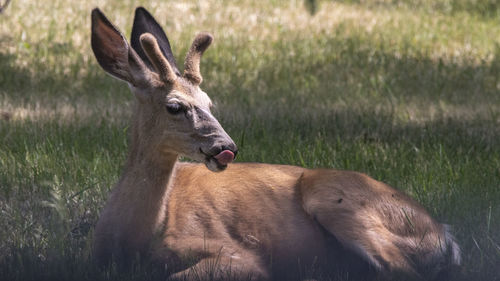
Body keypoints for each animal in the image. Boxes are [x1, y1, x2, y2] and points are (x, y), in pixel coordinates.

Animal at [91, 6, 460, 280]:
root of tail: (443, 234)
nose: (226, 146)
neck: (134, 238)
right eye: (174, 106)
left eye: (210, 103)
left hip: (339, 201)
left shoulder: (234, 252)